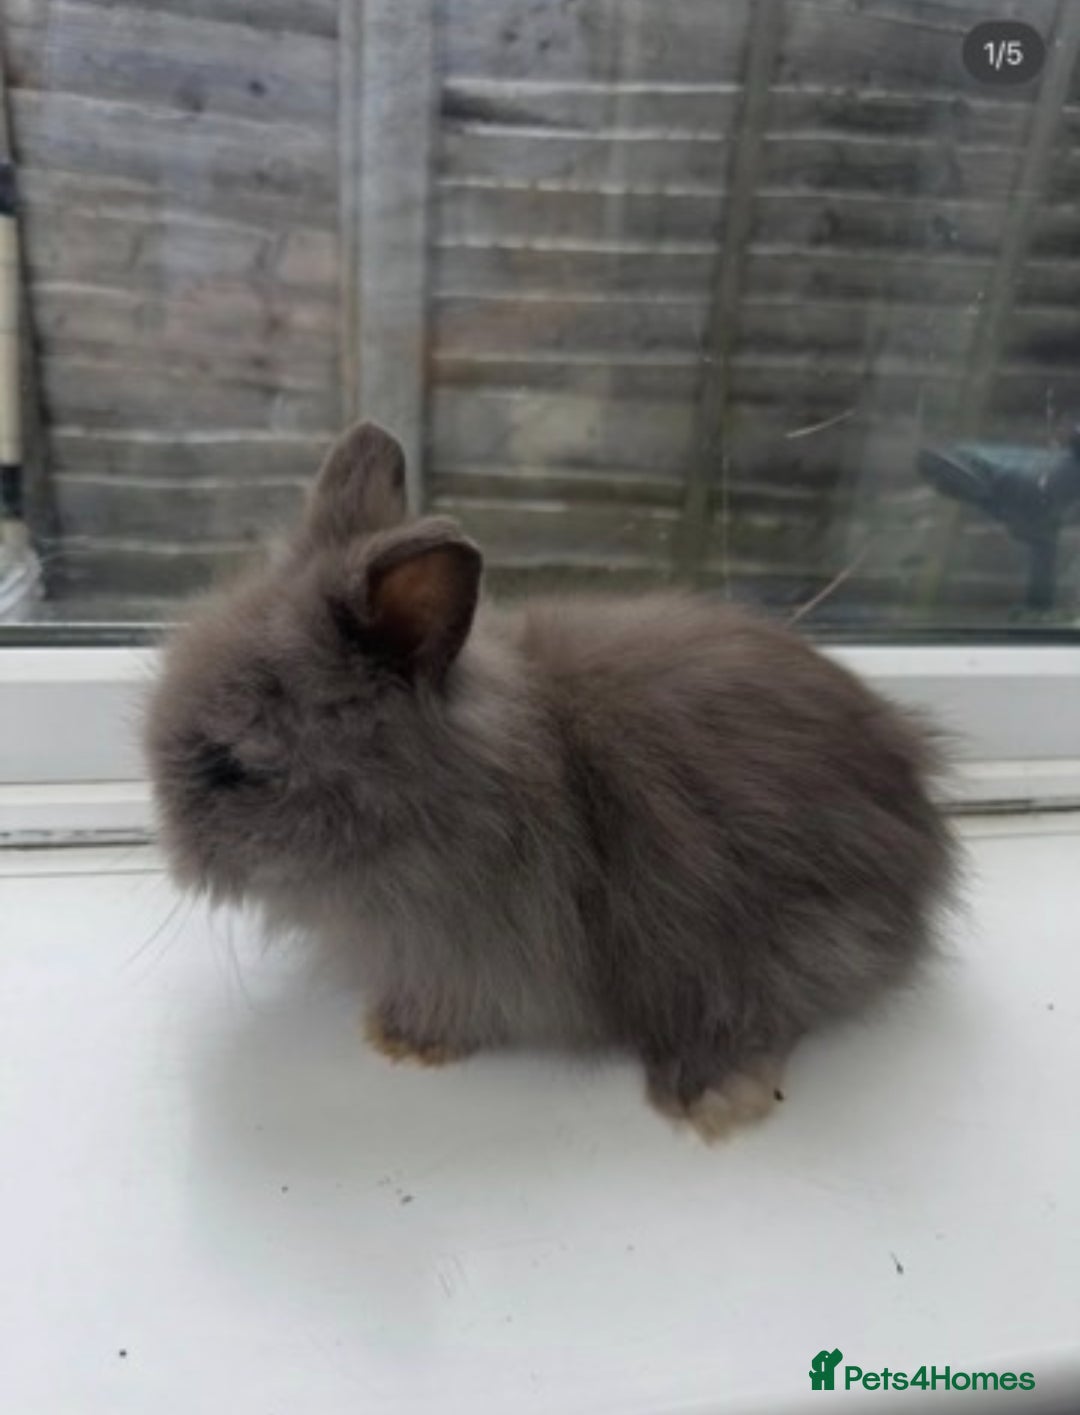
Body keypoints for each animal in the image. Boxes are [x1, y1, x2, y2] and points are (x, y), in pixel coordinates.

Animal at [146, 421, 957, 1142]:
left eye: (239, 765)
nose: (175, 851)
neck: (441, 795)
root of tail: (923, 830)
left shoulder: (471, 954)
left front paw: (402, 1039)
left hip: (782, 942)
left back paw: (712, 1094)